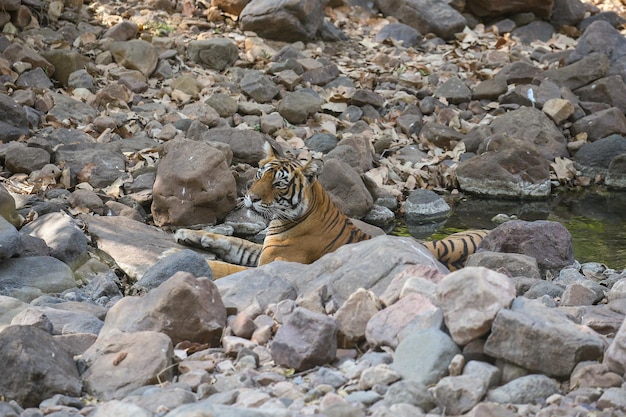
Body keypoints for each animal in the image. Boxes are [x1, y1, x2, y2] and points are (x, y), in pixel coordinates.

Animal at [174, 141, 488, 278]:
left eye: (279, 184)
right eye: (259, 174)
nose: (250, 198)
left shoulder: (274, 262)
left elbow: (229, 267)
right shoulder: (264, 251)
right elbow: (233, 242)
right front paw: (188, 234)